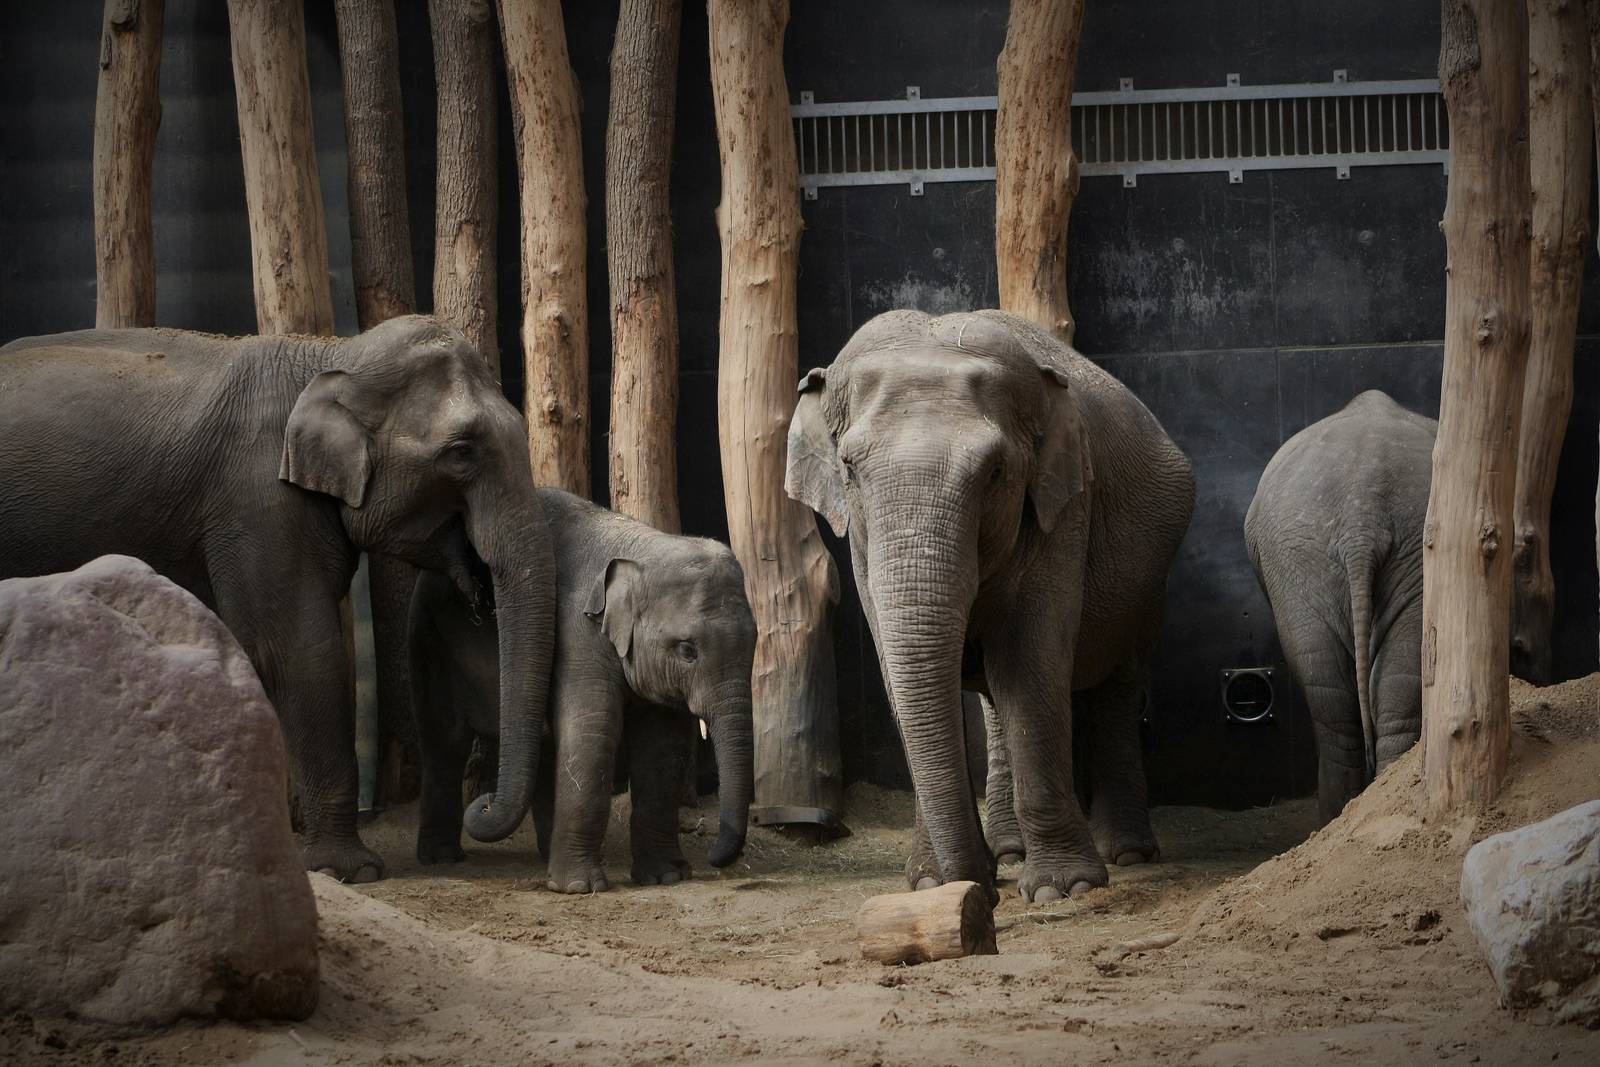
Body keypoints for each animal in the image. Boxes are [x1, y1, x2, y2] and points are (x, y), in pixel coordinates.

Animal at [0, 316, 555, 882]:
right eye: (462, 451)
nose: (480, 806)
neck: (333, 356)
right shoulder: (259, 500)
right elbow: (298, 652)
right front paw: (349, 871)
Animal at [407, 488, 755, 892]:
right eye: (687, 650)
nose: (716, 858)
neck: (641, 546)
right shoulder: (577, 634)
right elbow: (591, 730)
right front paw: (580, 888)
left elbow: (662, 746)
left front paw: (665, 876)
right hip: (428, 635)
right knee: (444, 741)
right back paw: (441, 857)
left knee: (538, 747)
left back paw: (544, 856)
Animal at [785, 309, 1195, 902]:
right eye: (850, 469)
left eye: (996, 472)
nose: (981, 894)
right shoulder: (861, 550)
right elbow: (898, 670)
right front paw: (932, 882)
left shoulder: (1061, 510)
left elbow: (1028, 662)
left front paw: (1062, 888)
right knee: (994, 700)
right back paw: (1009, 851)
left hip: (1150, 580)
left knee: (1116, 684)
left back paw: (1128, 853)